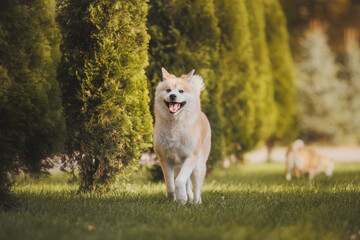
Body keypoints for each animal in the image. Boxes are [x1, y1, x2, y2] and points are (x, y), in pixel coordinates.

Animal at [153, 67, 211, 204]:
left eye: (181, 91)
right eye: (168, 90)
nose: (173, 96)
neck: (175, 126)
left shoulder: (190, 157)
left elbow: (179, 182)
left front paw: (181, 198)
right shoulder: (165, 159)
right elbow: (170, 185)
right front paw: (173, 200)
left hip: (197, 166)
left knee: (197, 186)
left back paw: (196, 202)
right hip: (178, 166)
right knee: (186, 183)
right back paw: (188, 197)